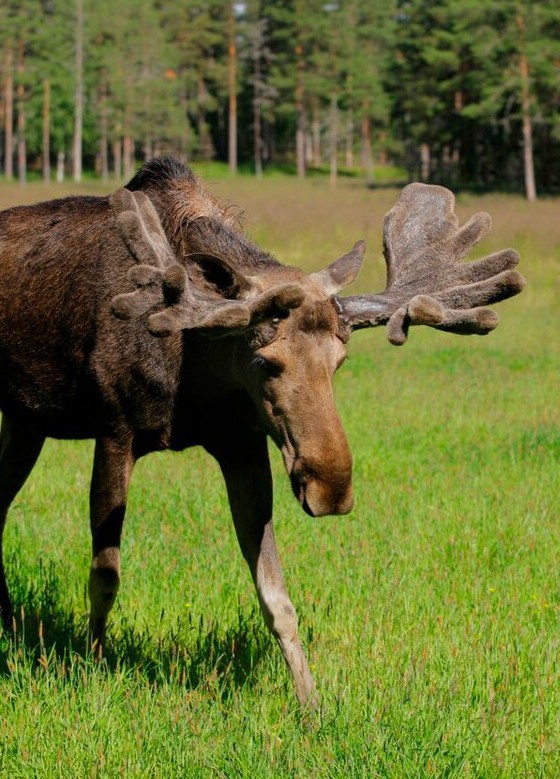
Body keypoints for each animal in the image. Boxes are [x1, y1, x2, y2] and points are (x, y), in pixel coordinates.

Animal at [0, 158, 524, 708]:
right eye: (264, 362)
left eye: (340, 362)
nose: (331, 488)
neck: (195, 367)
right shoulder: (115, 431)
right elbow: (105, 576)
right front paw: (92, 667)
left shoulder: (242, 446)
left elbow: (276, 595)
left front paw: (310, 701)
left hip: (25, 421)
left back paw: (9, 619)